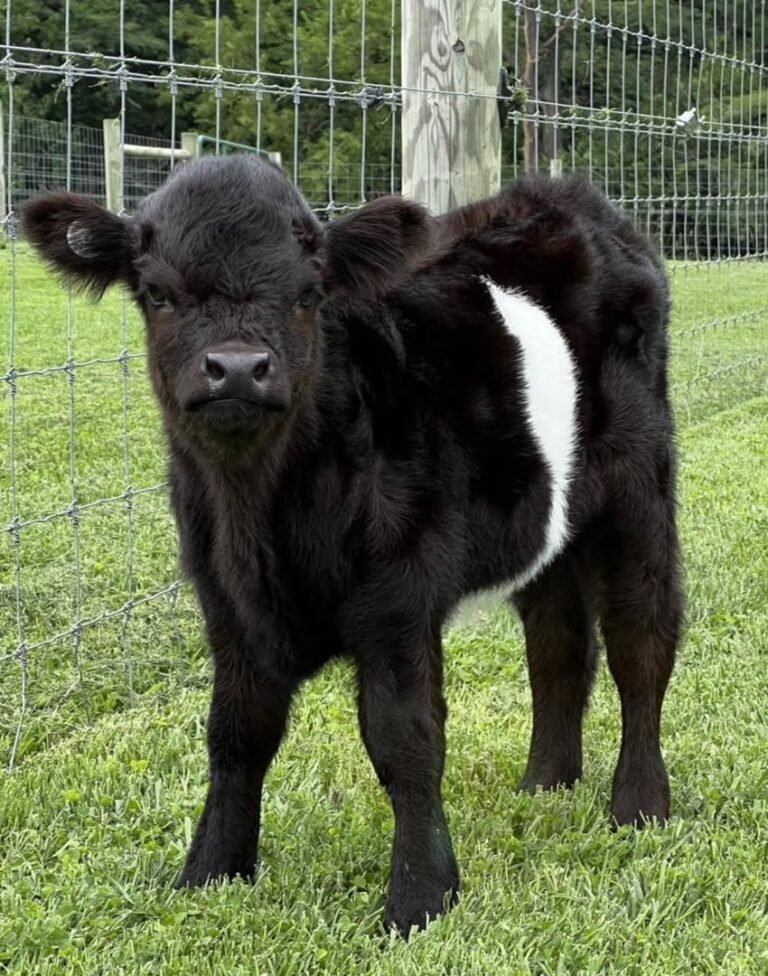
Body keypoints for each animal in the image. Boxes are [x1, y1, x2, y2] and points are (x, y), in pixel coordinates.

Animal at [22, 156, 683, 935]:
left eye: (308, 295)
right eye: (157, 293)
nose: (238, 367)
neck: (263, 519)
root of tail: (568, 198)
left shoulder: (399, 595)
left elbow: (405, 741)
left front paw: (420, 900)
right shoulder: (228, 602)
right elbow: (235, 734)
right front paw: (209, 874)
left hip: (641, 487)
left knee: (642, 638)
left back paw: (639, 806)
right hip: (544, 517)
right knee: (558, 644)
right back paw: (546, 785)